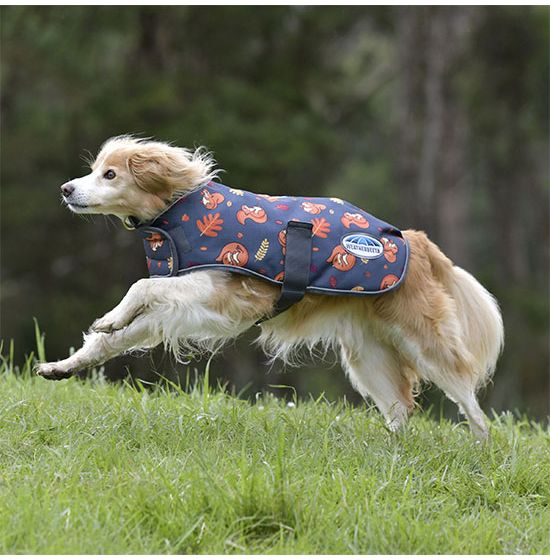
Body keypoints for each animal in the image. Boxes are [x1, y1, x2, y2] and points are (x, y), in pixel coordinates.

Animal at [36, 137, 506, 442]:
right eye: (94, 170)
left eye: (109, 174)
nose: (65, 188)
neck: (176, 211)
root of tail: (414, 239)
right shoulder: (179, 308)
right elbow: (111, 339)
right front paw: (64, 365)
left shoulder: (216, 289)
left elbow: (139, 287)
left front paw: (110, 316)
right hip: (368, 357)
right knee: (402, 409)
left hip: (427, 345)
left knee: (470, 401)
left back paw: (480, 449)